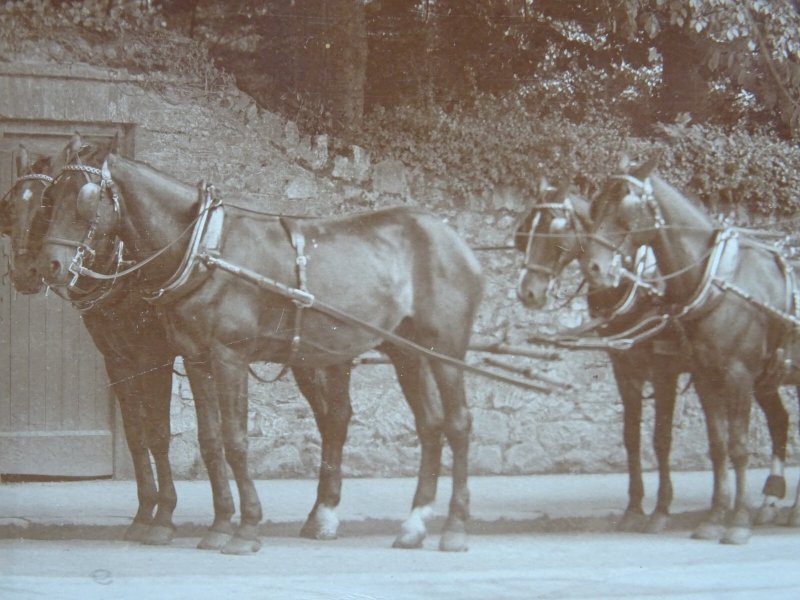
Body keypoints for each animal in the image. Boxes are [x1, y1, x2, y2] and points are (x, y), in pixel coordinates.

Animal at [1, 140, 179, 545]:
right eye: (10, 206)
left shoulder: (156, 358)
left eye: (46, 205)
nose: (27, 272)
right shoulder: (119, 361)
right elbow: (136, 435)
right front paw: (144, 513)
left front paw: (164, 516)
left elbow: (159, 433)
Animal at [38, 149, 484, 554]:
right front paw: (220, 525)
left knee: (458, 424)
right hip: (405, 350)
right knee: (428, 426)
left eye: (85, 198)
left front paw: (246, 528)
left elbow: (236, 440)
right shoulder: (197, 357)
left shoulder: (229, 356)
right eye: (50, 198)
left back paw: (454, 528)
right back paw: (413, 524)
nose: (50, 266)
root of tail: (452, 238)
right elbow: (210, 440)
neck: (206, 250)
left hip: (444, 347)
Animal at [514, 178, 792, 534]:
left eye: (554, 230)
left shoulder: (665, 371)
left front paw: (661, 509)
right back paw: (770, 500)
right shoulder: (625, 369)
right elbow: (632, 437)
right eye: (525, 230)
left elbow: (661, 438)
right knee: (779, 420)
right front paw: (634, 507)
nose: (528, 292)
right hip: (765, 373)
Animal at [581, 157, 800, 544]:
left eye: (625, 207)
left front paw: (736, 521)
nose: (595, 268)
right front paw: (714, 517)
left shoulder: (728, 375)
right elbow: (716, 445)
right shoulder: (701, 376)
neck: (715, 279)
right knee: (779, 420)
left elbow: (734, 446)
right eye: (594, 207)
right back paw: (772, 501)